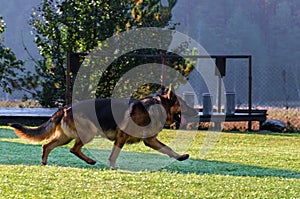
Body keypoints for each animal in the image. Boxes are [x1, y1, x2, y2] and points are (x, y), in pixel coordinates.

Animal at [9, 84, 197, 167]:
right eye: (185, 104)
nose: (197, 112)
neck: (158, 107)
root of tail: (65, 108)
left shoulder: (150, 140)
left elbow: (168, 149)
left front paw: (180, 156)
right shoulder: (122, 137)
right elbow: (114, 154)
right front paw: (113, 167)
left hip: (65, 137)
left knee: (47, 145)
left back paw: (45, 162)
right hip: (88, 133)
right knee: (73, 149)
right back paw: (90, 160)